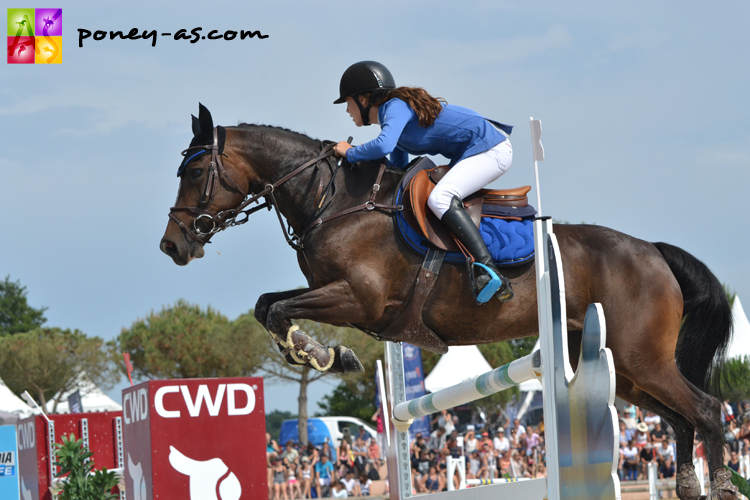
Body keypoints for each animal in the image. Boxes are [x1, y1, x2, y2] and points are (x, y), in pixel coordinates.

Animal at [160, 103, 740, 498]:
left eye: (195, 172)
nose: (173, 246)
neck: (334, 202)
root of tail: (653, 252)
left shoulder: (359, 299)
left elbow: (279, 309)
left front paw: (324, 354)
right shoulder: (336, 296)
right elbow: (267, 305)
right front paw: (325, 354)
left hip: (641, 358)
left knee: (707, 411)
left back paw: (723, 485)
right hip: (621, 366)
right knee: (681, 420)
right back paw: (691, 486)